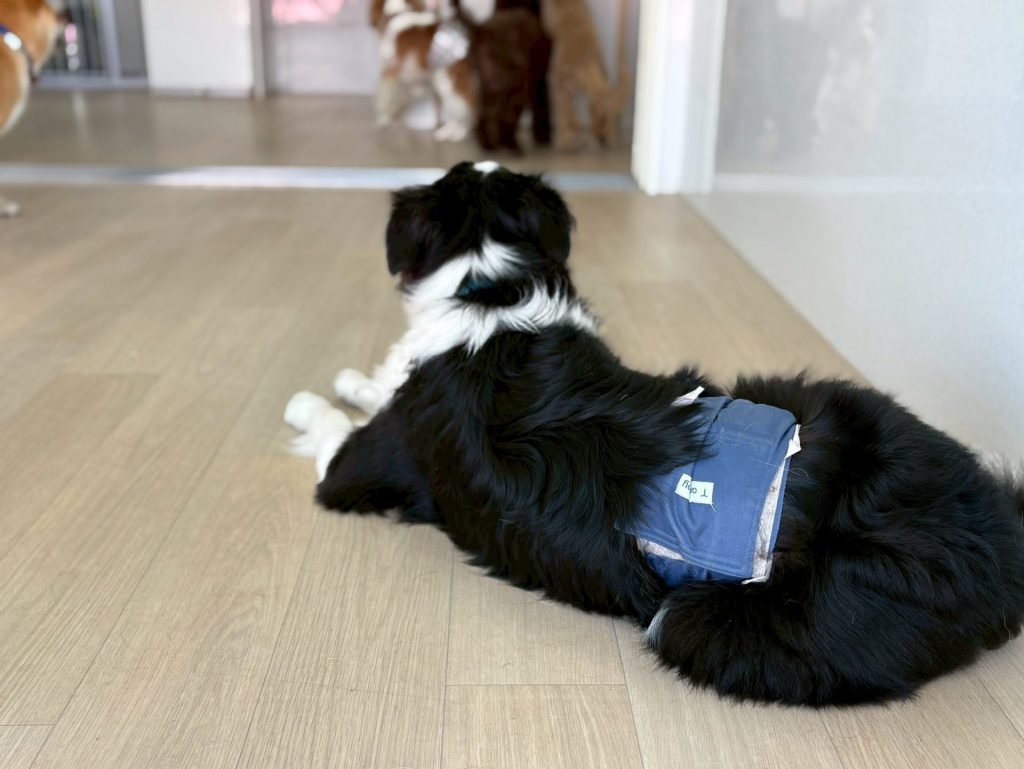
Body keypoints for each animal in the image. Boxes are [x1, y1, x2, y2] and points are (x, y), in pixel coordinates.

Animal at [284, 162, 1024, 706]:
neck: (491, 288)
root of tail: (991, 551)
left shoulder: (362, 465)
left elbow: (334, 427)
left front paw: (309, 398)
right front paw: (359, 378)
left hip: (708, 621)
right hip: (814, 399)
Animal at [370, 0, 475, 142]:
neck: (398, 12)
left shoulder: (390, 71)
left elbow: (386, 97)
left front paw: (384, 118)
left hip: (446, 82)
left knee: (461, 107)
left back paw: (454, 132)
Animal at [451, 0, 551, 153]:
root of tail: (484, 29)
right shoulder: (537, 79)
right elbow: (539, 106)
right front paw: (542, 137)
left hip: (488, 84)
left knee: (483, 113)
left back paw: (489, 144)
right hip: (509, 83)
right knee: (506, 114)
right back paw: (510, 145)